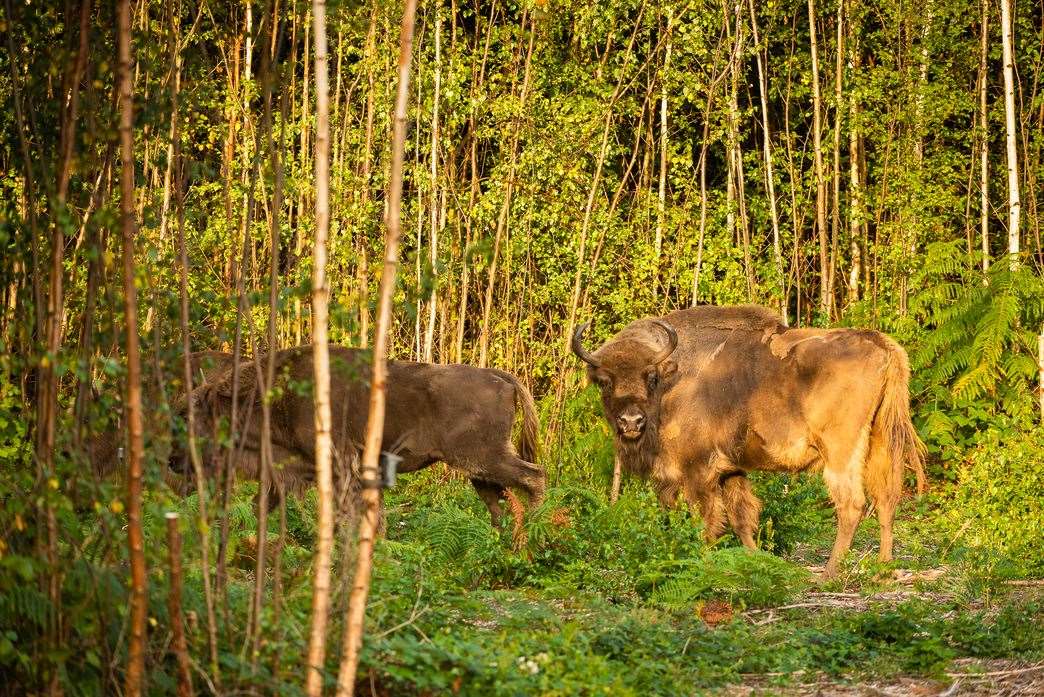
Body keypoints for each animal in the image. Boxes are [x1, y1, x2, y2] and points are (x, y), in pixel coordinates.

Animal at [169, 346, 547, 525]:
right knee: (499, 502)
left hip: (485, 458)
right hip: (478, 470)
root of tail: (501, 378)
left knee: (534, 477)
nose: (172, 461)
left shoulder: (339, 462)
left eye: (187, 416)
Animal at [576, 304, 927, 575]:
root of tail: (882, 344)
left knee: (851, 504)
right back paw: (884, 568)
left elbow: (706, 520)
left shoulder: (696, 471)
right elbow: (741, 516)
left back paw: (829, 573)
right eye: (605, 381)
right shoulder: (730, 469)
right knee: (887, 498)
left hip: (841, 451)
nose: (631, 422)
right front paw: (756, 560)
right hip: (881, 440)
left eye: (650, 377)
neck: (672, 380)